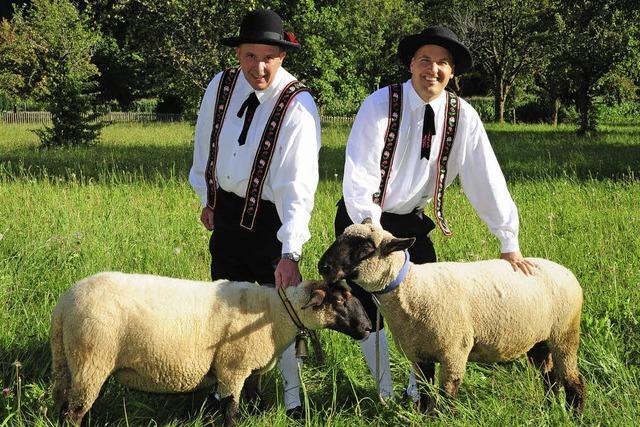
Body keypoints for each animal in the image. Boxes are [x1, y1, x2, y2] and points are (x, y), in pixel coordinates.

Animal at [50, 272, 372, 426]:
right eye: (339, 300)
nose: (368, 327)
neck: (275, 312)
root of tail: (64, 304)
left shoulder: (251, 370)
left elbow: (256, 399)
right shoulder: (232, 368)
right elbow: (230, 410)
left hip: (68, 361)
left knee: (64, 405)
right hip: (92, 359)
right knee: (73, 413)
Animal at [318, 219, 588, 412]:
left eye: (365, 247)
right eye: (340, 237)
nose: (323, 267)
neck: (413, 288)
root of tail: (566, 271)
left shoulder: (454, 351)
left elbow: (447, 395)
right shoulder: (420, 354)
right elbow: (426, 394)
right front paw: (425, 416)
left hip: (564, 334)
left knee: (574, 380)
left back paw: (575, 413)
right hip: (538, 341)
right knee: (550, 378)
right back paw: (550, 407)